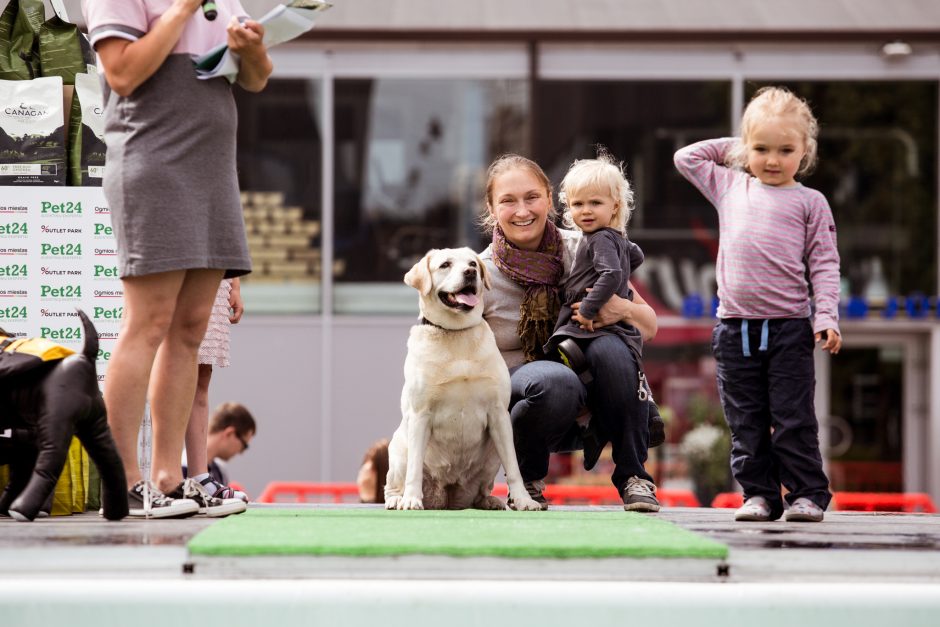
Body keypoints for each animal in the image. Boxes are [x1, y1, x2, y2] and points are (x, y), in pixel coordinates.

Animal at [0, 310, 127, 520]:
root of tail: (85, 358)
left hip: (56, 423)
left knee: (49, 464)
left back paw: (21, 509)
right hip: (95, 425)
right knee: (112, 462)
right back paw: (116, 511)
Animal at [384, 248, 544, 512]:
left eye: (472, 264)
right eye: (445, 265)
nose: (470, 273)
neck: (456, 333)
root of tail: (447, 498)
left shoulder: (499, 413)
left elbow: (514, 468)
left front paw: (523, 499)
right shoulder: (420, 414)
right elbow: (414, 468)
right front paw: (411, 499)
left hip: (492, 453)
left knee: (482, 489)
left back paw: (489, 501)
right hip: (398, 447)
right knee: (395, 482)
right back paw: (399, 498)